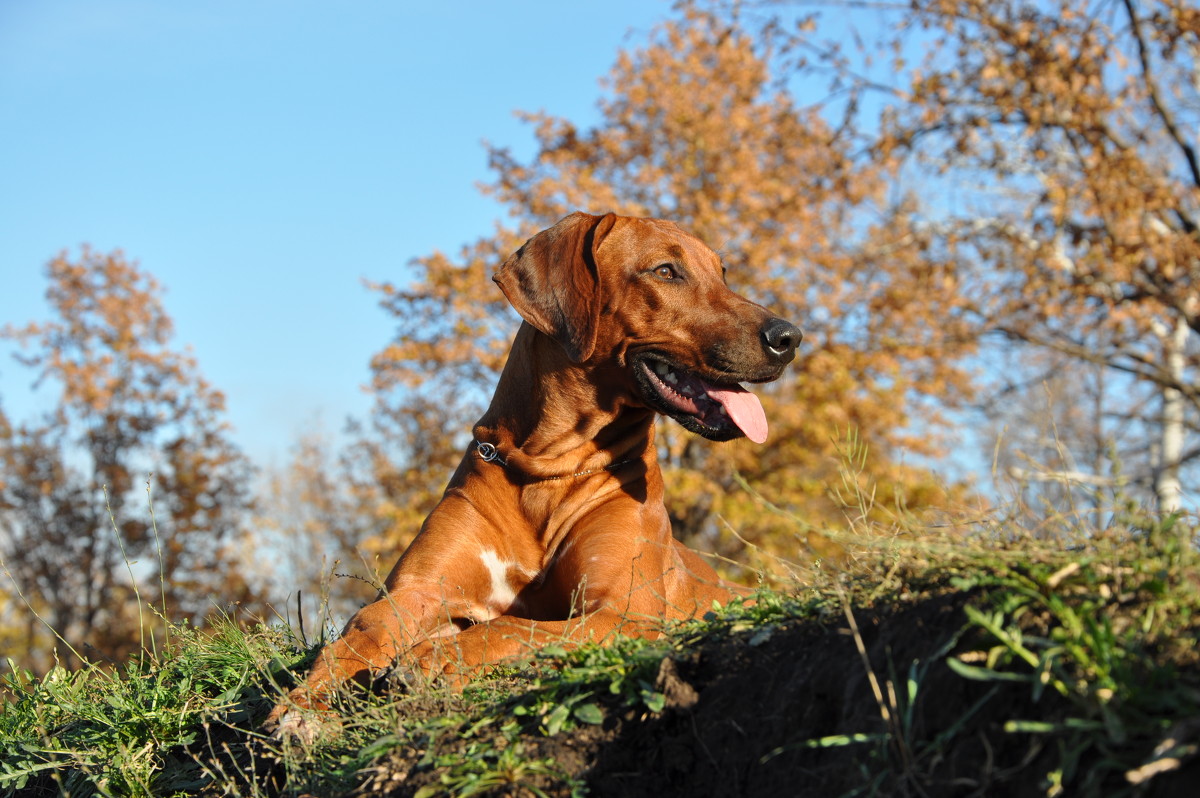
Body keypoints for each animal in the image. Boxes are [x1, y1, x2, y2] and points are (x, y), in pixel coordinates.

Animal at [267, 213, 801, 739]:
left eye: (723, 273)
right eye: (666, 271)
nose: (789, 337)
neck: (548, 472)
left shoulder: (625, 613)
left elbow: (517, 627)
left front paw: (436, 659)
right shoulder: (417, 590)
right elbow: (364, 631)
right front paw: (304, 707)